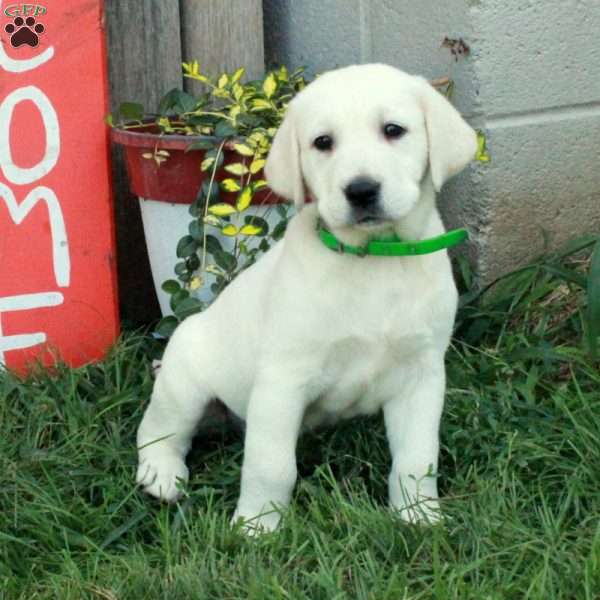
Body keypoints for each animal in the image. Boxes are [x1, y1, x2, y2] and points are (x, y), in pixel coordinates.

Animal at [137, 63, 478, 532]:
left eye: (393, 130)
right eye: (323, 142)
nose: (361, 190)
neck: (375, 259)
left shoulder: (421, 375)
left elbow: (417, 457)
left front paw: (418, 515)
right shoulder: (283, 379)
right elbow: (271, 465)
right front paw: (256, 526)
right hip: (184, 384)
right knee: (159, 430)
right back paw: (161, 472)